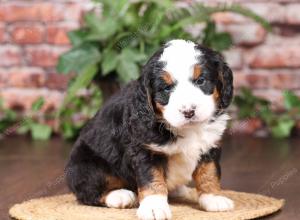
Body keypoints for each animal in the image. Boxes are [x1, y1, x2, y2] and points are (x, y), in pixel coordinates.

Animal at [65, 38, 234, 219]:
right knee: (88, 192)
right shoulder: (145, 150)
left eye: (201, 81)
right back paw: (119, 195)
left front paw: (213, 198)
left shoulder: (210, 145)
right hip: (87, 165)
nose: (188, 111)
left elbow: (209, 172)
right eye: (166, 88)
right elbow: (152, 179)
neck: (188, 129)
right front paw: (154, 207)